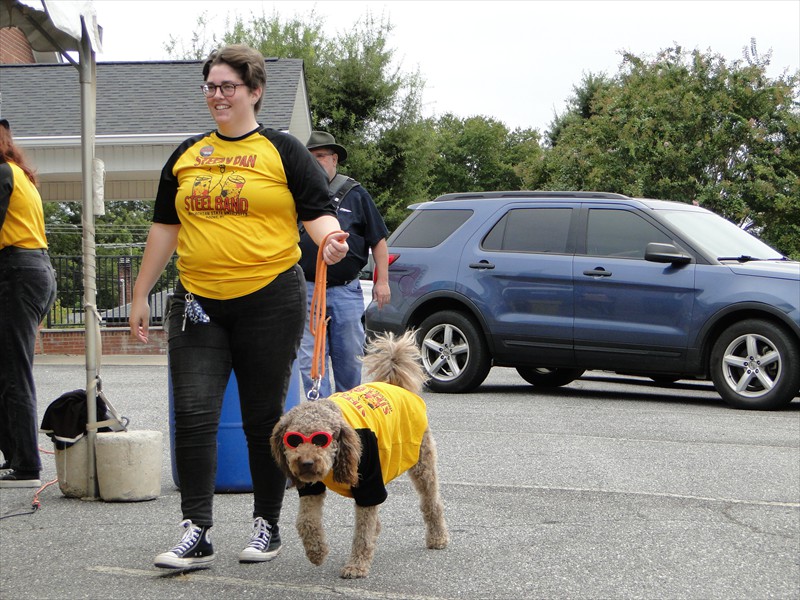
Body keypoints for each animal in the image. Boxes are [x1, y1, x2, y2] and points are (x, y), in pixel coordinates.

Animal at [272, 330, 450, 580]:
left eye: (321, 439)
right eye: (294, 440)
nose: (306, 462)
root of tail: (394, 384)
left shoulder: (370, 484)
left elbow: (362, 532)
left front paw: (356, 565)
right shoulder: (311, 488)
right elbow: (306, 521)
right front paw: (316, 552)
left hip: (422, 462)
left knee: (432, 502)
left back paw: (438, 537)